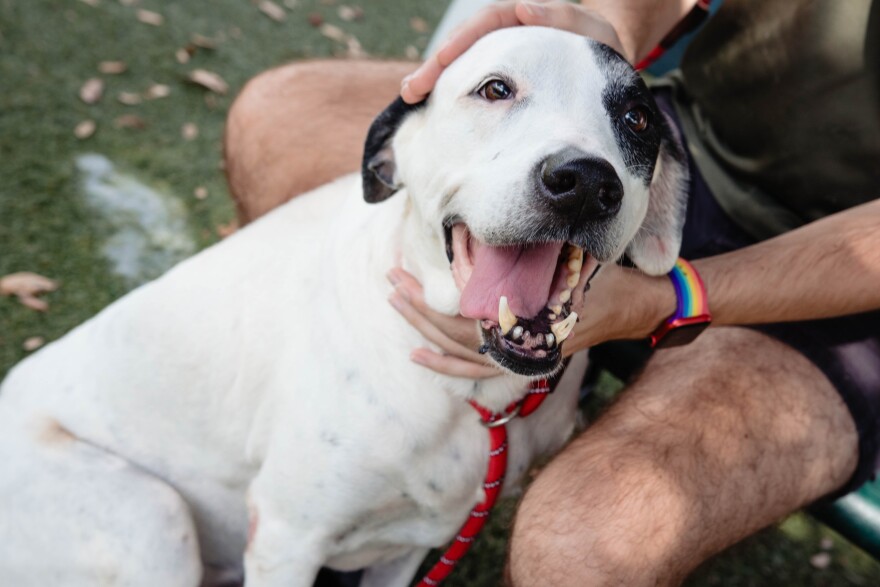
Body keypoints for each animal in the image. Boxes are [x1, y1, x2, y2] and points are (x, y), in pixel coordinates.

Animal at [0, 25, 688, 584]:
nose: (585, 182)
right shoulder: (285, 538)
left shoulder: (410, 547)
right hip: (151, 518)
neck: (470, 398)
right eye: (495, 89)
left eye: (637, 120)